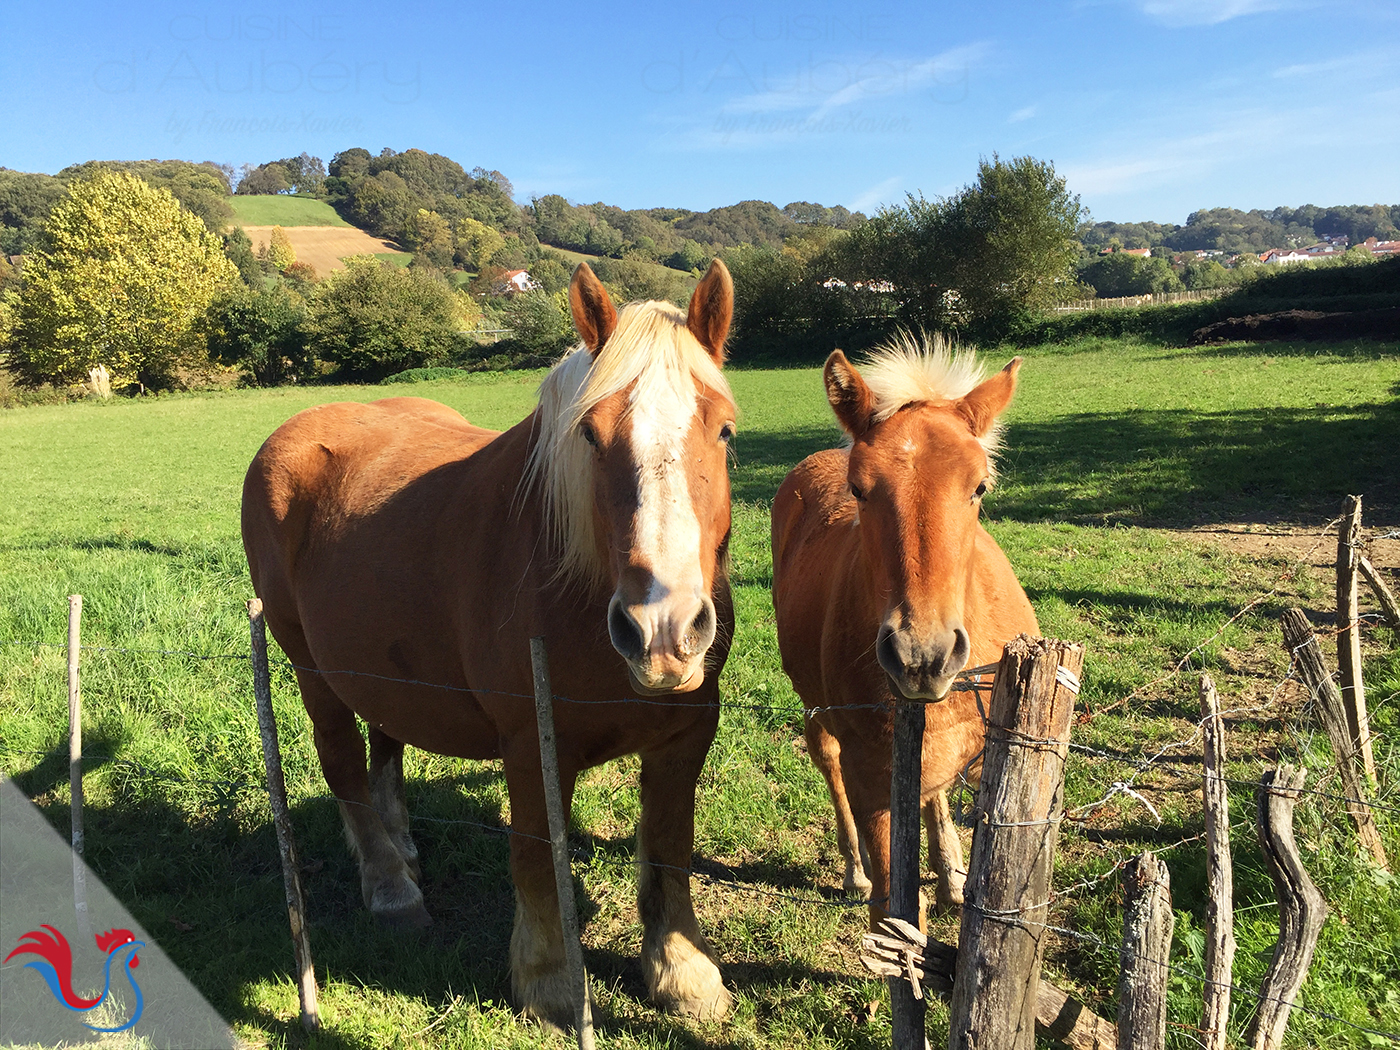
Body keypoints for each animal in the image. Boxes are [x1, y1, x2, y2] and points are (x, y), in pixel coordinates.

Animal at [242, 263, 744, 1030]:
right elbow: (536, 857)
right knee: (344, 763)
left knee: (385, 742)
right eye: (590, 435)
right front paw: (549, 982)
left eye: (723, 430)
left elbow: (669, 851)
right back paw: (392, 887)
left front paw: (683, 975)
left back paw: (403, 846)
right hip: (309, 667)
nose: (662, 631)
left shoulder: (685, 733)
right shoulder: (531, 741)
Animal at [772, 337, 1036, 929]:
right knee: (826, 759)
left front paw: (957, 875)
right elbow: (894, 911)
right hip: (816, 710)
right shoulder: (872, 781)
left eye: (979, 486)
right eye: (858, 489)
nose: (922, 656)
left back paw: (950, 873)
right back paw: (855, 868)